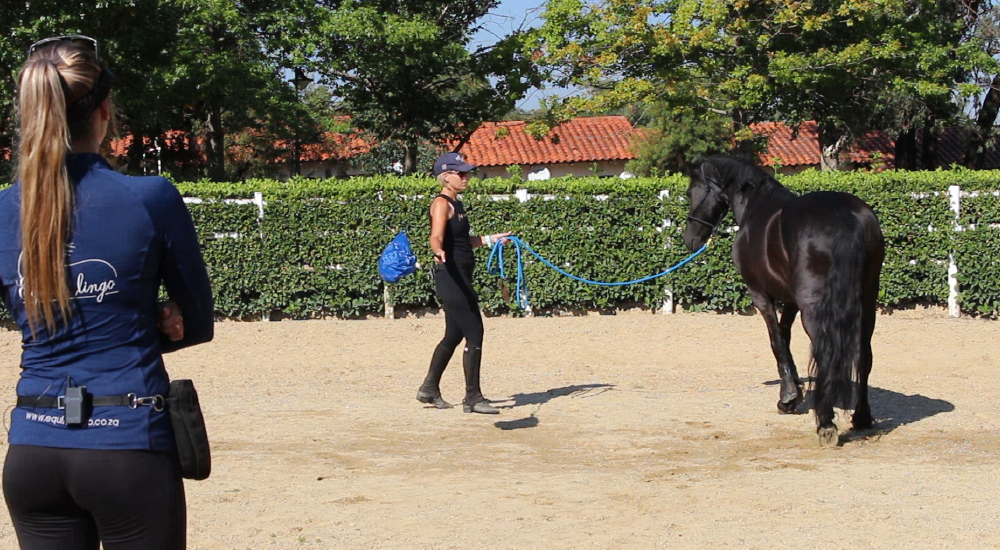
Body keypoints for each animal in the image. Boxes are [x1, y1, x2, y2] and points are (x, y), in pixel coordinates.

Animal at [682, 155, 885, 447]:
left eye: (691, 192)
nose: (690, 238)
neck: (755, 207)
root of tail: (844, 216)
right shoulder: (790, 301)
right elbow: (785, 336)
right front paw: (793, 391)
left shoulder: (760, 295)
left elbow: (776, 341)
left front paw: (788, 398)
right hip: (867, 303)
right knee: (864, 355)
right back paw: (862, 417)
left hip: (816, 309)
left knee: (825, 352)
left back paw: (826, 424)